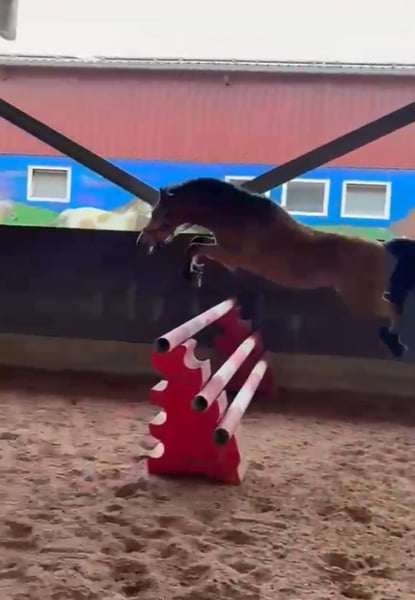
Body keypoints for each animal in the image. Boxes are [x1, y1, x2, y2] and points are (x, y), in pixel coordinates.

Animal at [138, 177, 411, 358]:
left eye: (162, 214)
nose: (143, 241)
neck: (237, 215)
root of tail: (385, 249)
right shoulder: (223, 250)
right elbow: (198, 242)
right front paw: (195, 273)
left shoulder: (232, 256)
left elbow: (195, 246)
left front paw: (191, 275)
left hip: (359, 299)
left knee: (392, 309)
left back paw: (395, 344)